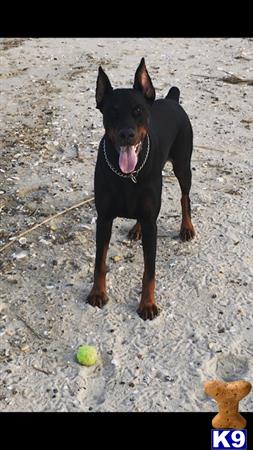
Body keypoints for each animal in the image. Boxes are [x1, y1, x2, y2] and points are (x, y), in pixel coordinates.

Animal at [86, 58, 195, 320]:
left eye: (139, 111)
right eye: (112, 112)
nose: (126, 134)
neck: (128, 177)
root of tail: (171, 99)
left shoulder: (151, 223)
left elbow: (149, 271)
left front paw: (147, 304)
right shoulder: (104, 219)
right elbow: (99, 261)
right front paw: (98, 292)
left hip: (183, 167)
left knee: (185, 197)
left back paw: (186, 227)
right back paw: (136, 229)